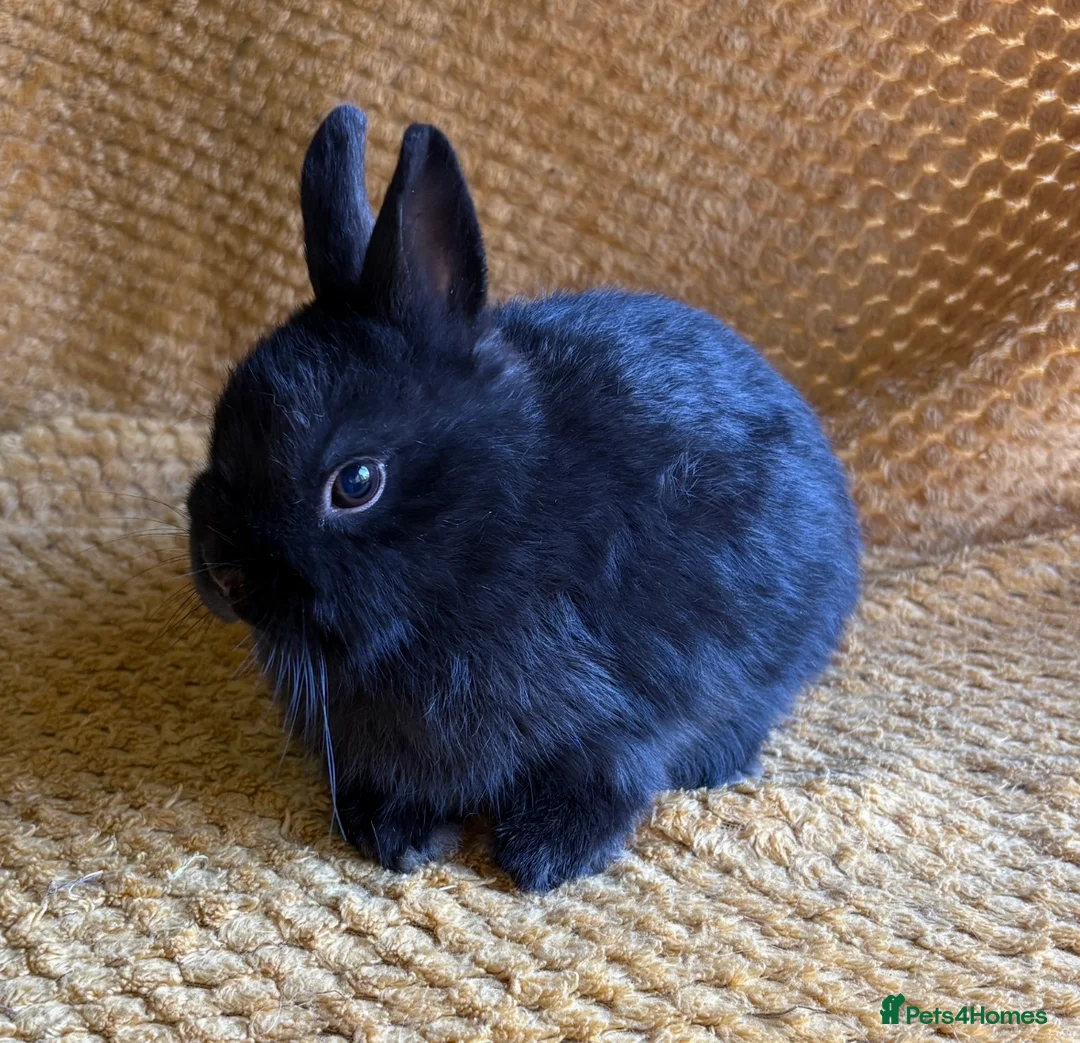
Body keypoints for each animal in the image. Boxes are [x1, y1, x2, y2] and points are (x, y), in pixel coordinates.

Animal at [187, 105, 860, 891]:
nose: (224, 577)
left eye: (355, 483)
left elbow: (616, 770)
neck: (485, 541)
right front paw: (397, 834)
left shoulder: (631, 711)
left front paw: (546, 855)